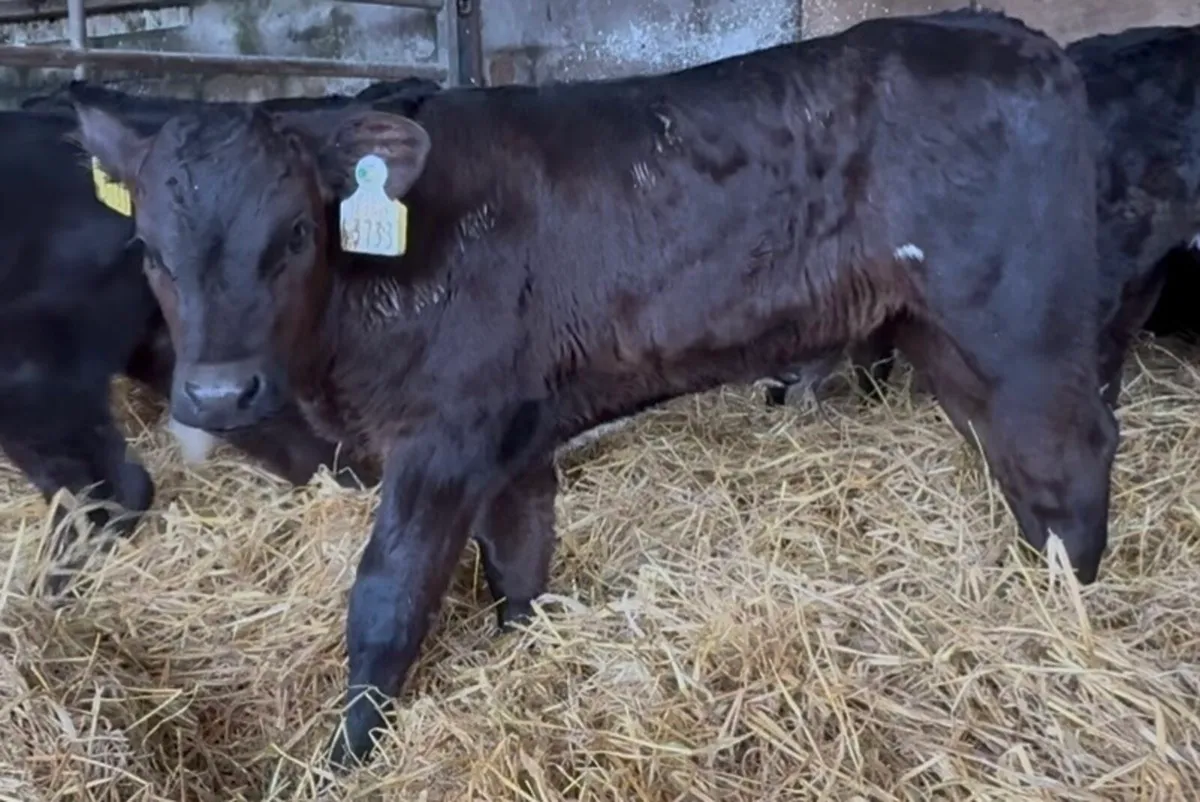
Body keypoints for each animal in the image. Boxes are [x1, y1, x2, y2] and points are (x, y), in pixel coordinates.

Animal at [69, 8, 1117, 769]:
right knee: (1017, 458)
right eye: (149, 250)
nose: (218, 395)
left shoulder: (444, 434)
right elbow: (520, 563)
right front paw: (523, 654)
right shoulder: (514, 432)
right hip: (941, 333)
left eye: (291, 234)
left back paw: (1070, 610)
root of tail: (1014, 36)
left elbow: (387, 602)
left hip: (1017, 319)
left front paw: (344, 761)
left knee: (1072, 450)